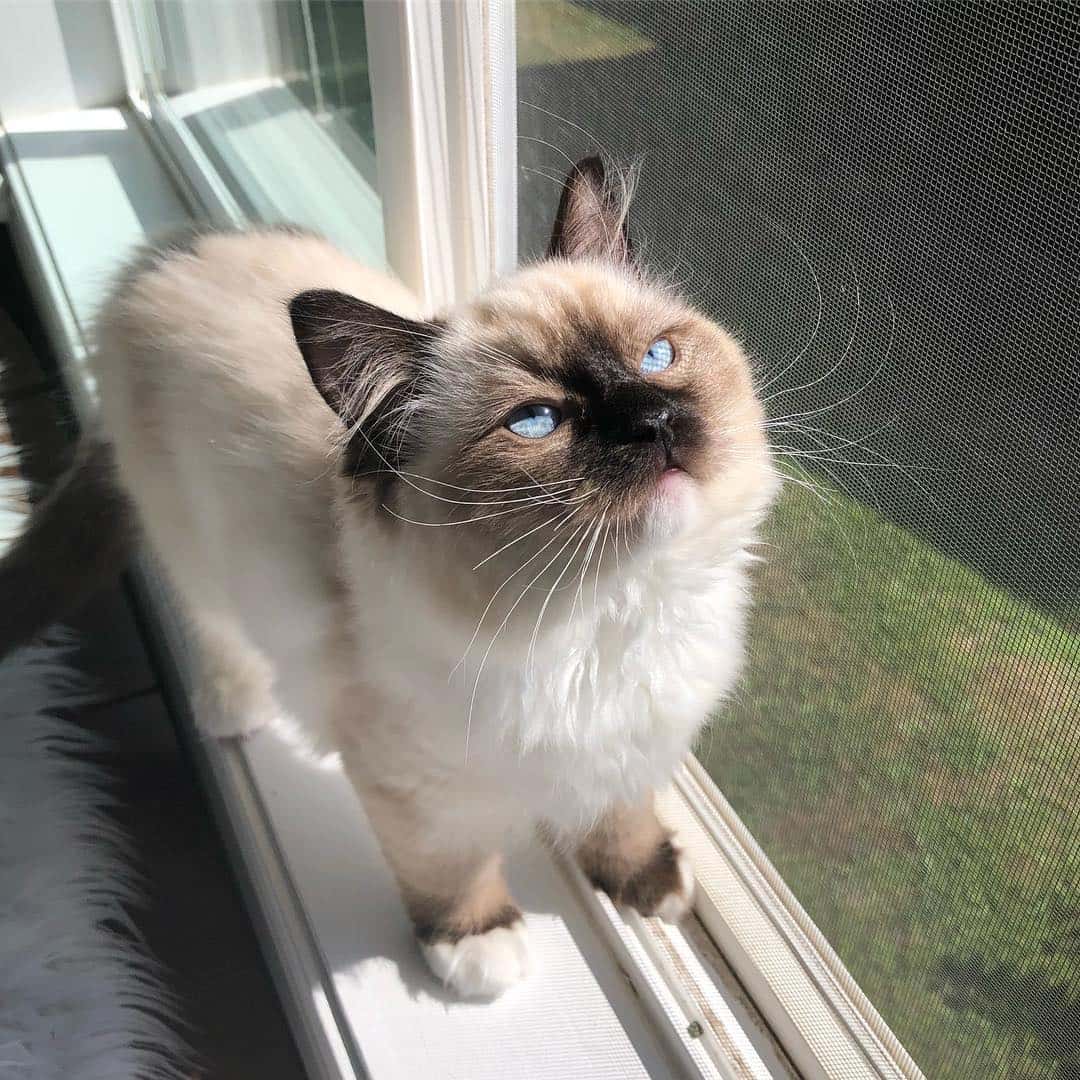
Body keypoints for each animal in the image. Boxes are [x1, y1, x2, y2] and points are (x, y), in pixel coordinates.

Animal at [0, 156, 777, 997]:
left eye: (655, 359)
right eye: (537, 421)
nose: (654, 421)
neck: (611, 619)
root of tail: (167, 253)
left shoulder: (638, 744)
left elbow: (623, 818)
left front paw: (650, 883)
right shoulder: (410, 788)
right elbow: (450, 871)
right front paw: (478, 949)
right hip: (187, 537)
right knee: (210, 619)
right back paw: (233, 709)